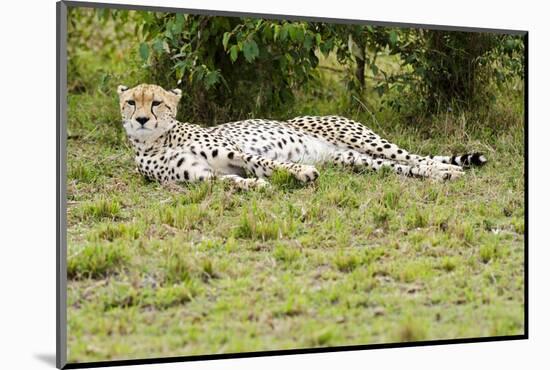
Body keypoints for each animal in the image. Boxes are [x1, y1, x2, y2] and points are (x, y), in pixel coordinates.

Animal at [116, 82, 488, 189]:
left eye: (157, 102)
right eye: (132, 102)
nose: (142, 119)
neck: (157, 140)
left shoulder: (237, 152)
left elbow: (268, 163)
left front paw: (302, 173)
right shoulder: (199, 176)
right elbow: (229, 181)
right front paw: (254, 186)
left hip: (364, 139)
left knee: (414, 157)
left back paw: (447, 169)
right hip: (354, 159)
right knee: (400, 168)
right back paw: (441, 174)